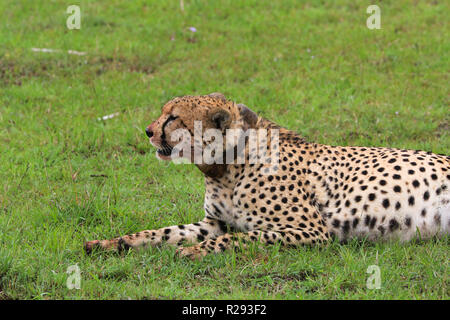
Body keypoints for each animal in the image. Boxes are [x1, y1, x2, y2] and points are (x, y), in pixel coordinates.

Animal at [83, 93, 446, 260]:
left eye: (173, 118)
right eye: (163, 114)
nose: (148, 131)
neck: (227, 167)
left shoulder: (312, 231)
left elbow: (243, 237)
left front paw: (196, 252)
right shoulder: (214, 222)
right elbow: (162, 232)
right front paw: (112, 242)